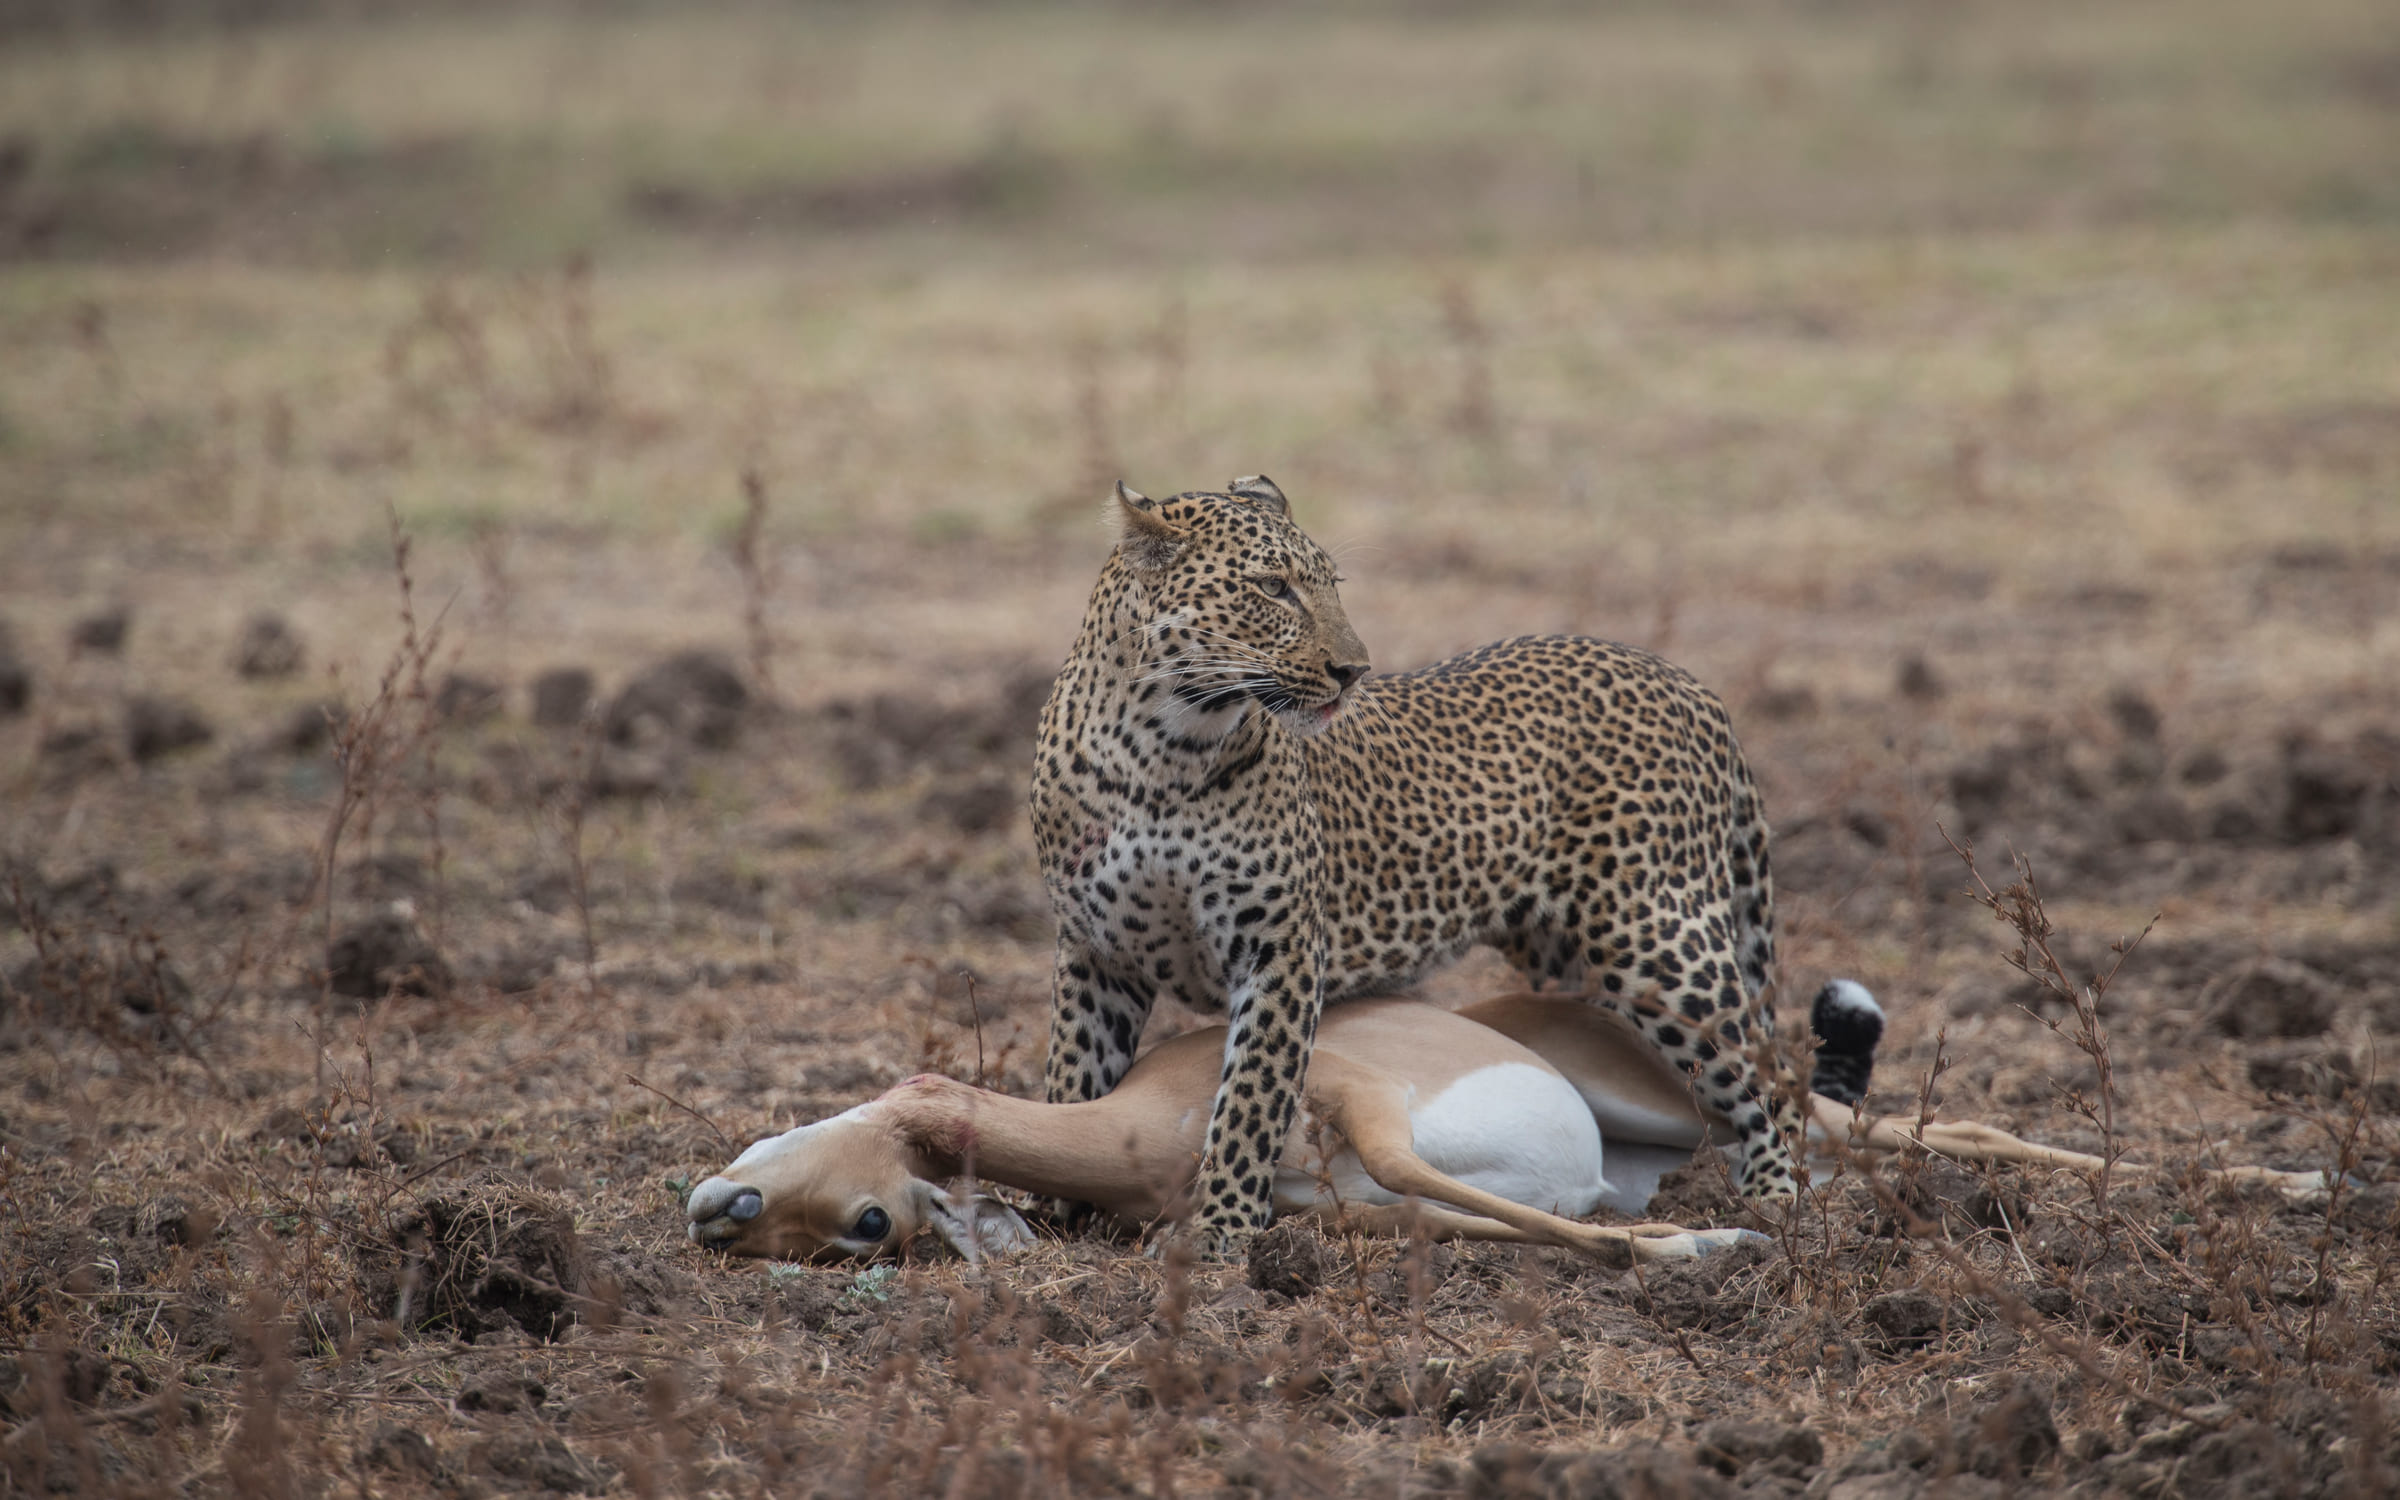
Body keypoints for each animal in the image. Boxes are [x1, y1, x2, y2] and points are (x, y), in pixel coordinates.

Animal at [1032, 480, 1804, 1248]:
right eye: (1274, 587)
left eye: (1330, 585)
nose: (1353, 670)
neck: (1159, 747)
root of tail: (1686, 682)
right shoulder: (1098, 951)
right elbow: (1074, 1077)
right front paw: (1054, 1209)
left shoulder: (1279, 947)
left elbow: (1253, 1098)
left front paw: (1221, 1228)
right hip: (1566, 955)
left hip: (1660, 943)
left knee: (1776, 1071)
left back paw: (1778, 1201)